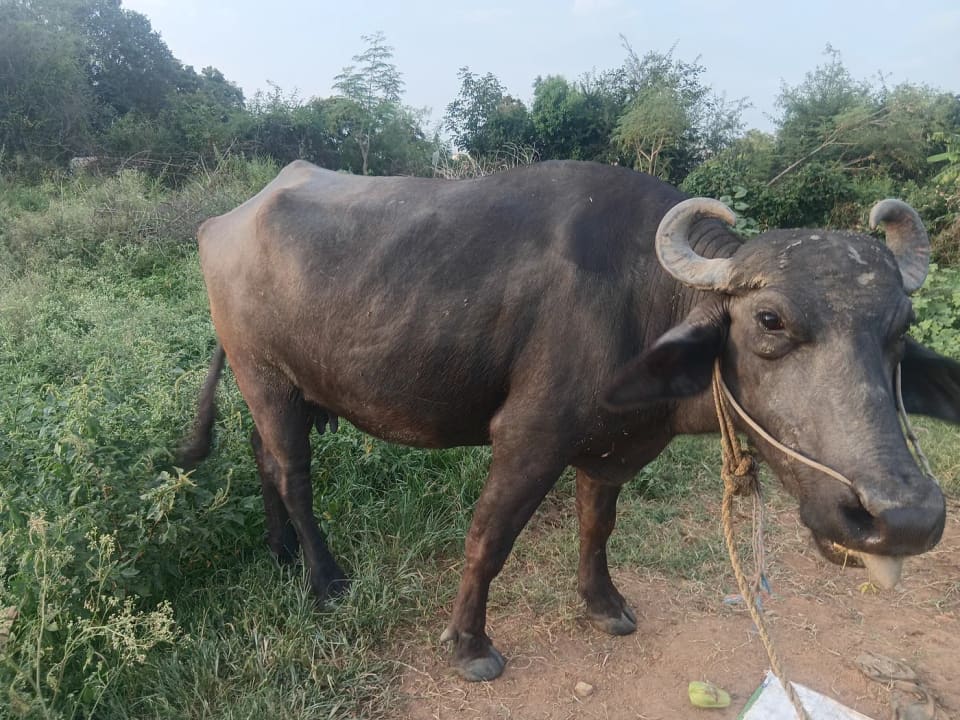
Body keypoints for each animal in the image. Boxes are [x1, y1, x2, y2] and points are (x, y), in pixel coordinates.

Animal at [181, 159, 960, 681]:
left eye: (898, 330)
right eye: (770, 320)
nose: (904, 517)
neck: (644, 295)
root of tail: (225, 220)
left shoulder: (612, 445)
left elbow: (596, 526)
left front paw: (603, 603)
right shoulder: (528, 438)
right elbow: (488, 540)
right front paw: (470, 644)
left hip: (284, 388)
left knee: (261, 454)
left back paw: (282, 550)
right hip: (265, 376)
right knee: (293, 472)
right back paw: (323, 577)